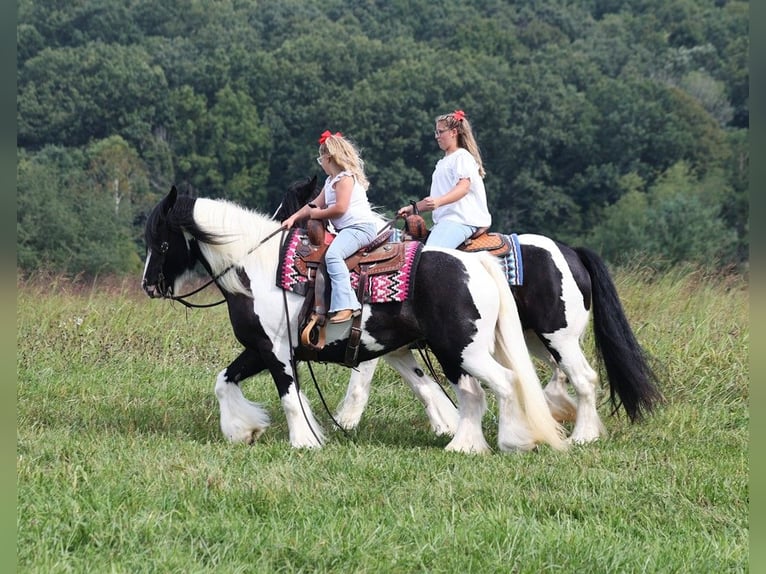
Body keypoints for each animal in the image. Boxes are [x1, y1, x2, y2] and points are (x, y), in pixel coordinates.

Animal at [141, 188, 568, 454]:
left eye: (161, 242)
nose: (149, 285)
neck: (257, 268)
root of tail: (475, 264)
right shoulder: (259, 349)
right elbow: (223, 381)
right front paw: (244, 429)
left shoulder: (275, 351)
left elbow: (289, 397)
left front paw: (303, 441)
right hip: (455, 353)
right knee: (473, 394)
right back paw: (465, 445)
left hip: (464, 350)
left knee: (503, 384)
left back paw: (510, 440)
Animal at [278, 178, 664, 444]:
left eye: (295, 212)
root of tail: (571, 252)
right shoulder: (398, 347)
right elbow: (421, 384)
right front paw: (447, 423)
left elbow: (363, 381)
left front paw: (346, 420)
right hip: (536, 338)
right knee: (560, 373)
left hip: (558, 336)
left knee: (581, 376)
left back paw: (580, 434)